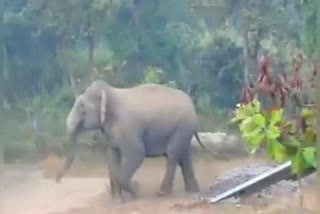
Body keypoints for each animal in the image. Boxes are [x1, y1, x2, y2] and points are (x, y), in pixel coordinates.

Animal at [55, 80, 230, 202]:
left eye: (83, 110)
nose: (57, 181)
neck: (109, 92)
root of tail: (192, 107)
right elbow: (112, 156)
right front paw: (117, 200)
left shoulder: (127, 128)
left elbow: (137, 154)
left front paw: (136, 190)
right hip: (183, 130)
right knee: (184, 157)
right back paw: (192, 192)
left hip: (181, 127)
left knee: (173, 156)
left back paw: (162, 193)